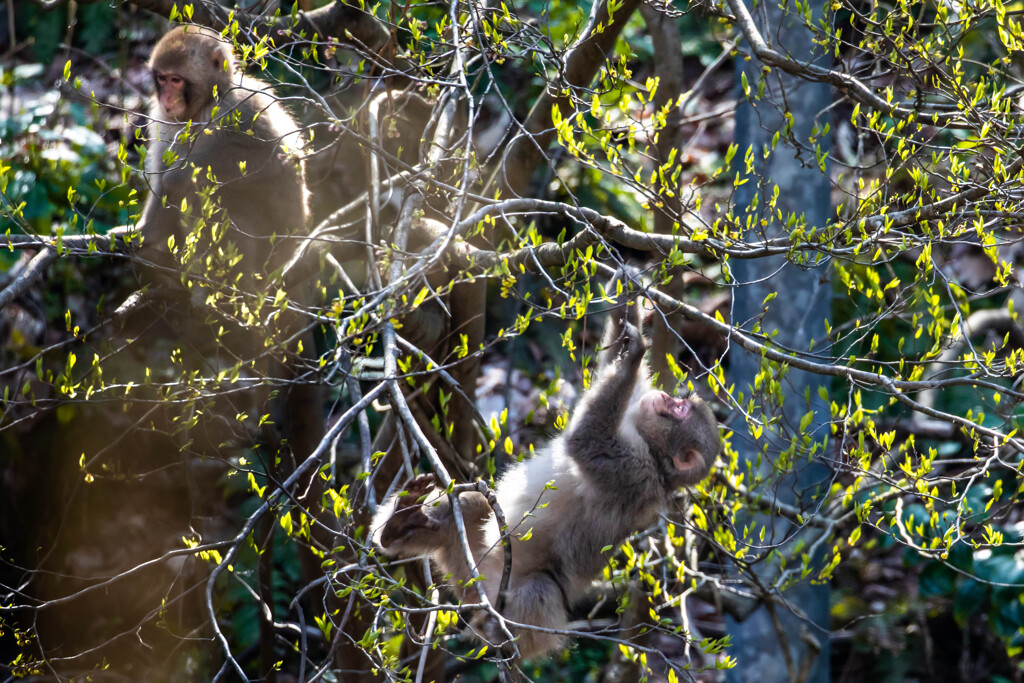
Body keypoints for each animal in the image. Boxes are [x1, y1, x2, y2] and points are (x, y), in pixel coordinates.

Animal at [139, 24, 307, 288]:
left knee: (211, 192)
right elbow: (162, 179)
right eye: (162, 79)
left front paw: (178, 175)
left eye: (176, 80)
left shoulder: (242, 105)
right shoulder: (163, 120)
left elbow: (277, 156)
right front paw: (145, 235)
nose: (166, 98)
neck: (203, 106)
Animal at [374, 294, 720, 663]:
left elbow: (587, 443)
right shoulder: (634, 421)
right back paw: (401, 523)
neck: (652, 452)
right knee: (472, 506)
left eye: (680, 410)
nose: (666, 398)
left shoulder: (633, 474)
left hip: (515, 598)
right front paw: (629, 304)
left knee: (542, 587)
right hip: (468, 571)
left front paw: (635, 354)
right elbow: (610, 369)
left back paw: (502, 636)